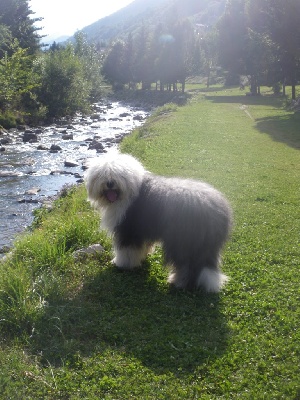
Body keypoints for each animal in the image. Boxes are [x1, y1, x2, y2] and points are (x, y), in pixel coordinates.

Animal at [84, 152, 232, 292]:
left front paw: (122, 264)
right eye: (102, 174)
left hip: (183, 241)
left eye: (118, 174)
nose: (110, 183)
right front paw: (143, 256)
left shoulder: (129, 229)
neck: (127, 193)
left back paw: (178, 282)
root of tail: (216, 211)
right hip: (204, 245)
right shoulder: (143, 230)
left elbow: (126, 250)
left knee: (186, 264)